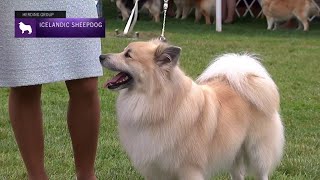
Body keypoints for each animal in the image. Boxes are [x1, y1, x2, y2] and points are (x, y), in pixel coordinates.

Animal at [100, 39, 284, 180]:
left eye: (128, 55)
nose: (101, 56)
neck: (159, 102)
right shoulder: (157, 169)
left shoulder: (189, 169)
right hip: (234, 152)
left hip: (257, 152)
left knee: (262, 173)